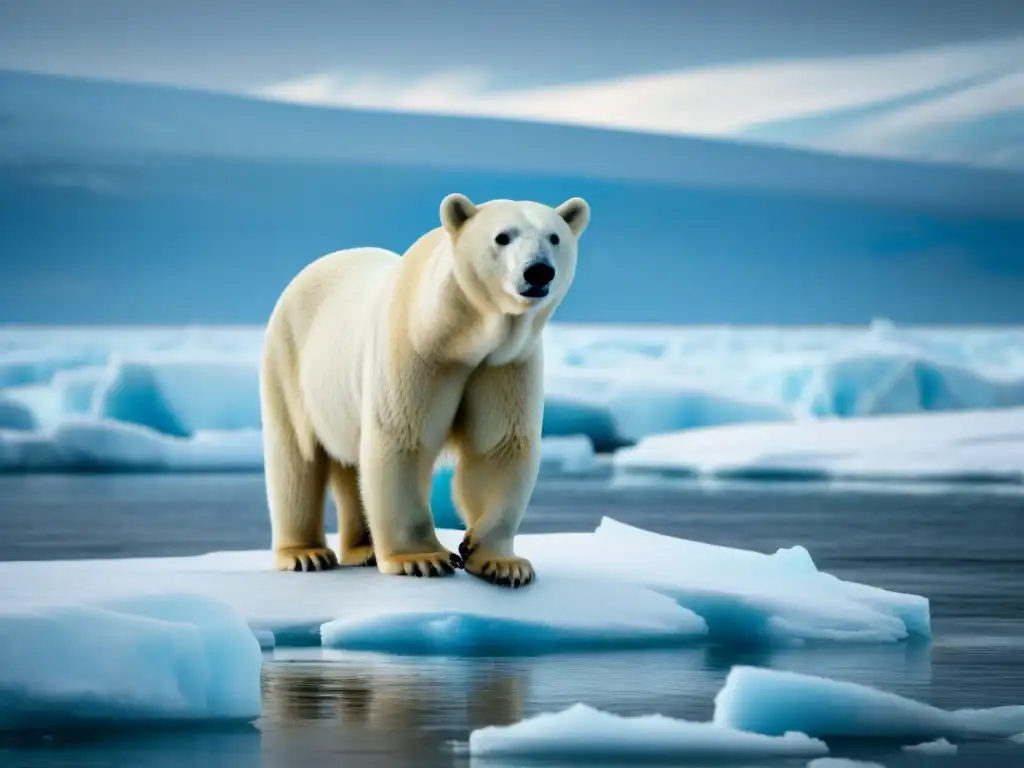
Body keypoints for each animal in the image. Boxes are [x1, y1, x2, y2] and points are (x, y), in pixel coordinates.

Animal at [260, 192, 589, 589]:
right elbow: (404, 438)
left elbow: (499, 446)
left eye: (554, 237)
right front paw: (421, 559)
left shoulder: (504, 363)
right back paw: (304, 553)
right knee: (296, 458)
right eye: (502, 237)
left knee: (350, 466)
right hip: (290, 360)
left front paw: (500, 562)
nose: (538, 271)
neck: (461, 335)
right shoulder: (417, 351)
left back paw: (363, 548)